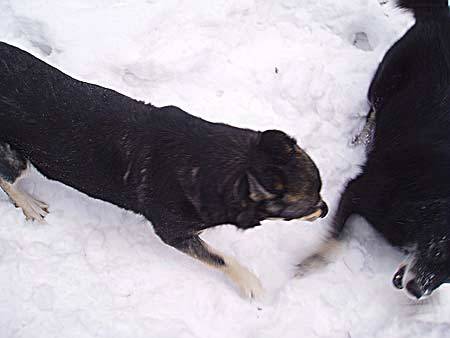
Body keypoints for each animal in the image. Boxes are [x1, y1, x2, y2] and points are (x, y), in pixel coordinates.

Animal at [0, 41, 326, 298]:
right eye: (308, 204)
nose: (324, 210)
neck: (221, 167)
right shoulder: (173, 233)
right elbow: (221, 258)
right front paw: (251, 283)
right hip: (16, 157)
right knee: (7, 179)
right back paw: (28, 204)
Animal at [300, 0, 450, 302]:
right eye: (438, 249)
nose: (417, 293)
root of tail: (442, 16)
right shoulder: (357, 189)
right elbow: (336, 240)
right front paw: (312, 262)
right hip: (384, 81)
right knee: (373, 109)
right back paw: (362, 139)